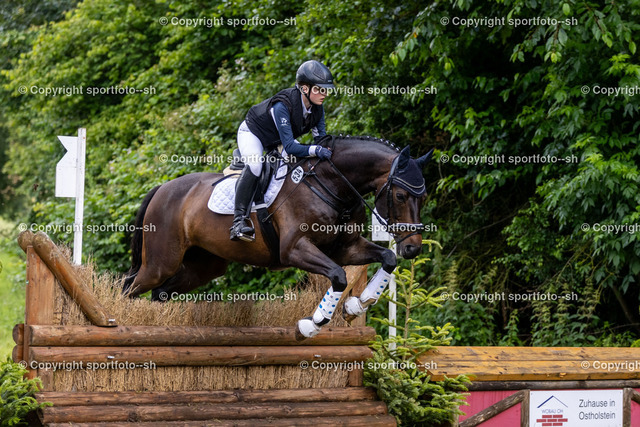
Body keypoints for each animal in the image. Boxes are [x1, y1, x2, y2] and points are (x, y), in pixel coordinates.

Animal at [123, 135, 433, 338]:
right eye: (401, 196)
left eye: (424, 197)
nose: (413, 249)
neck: (331, 185)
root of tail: (162, 188)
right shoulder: (294, 250)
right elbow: (339, 276)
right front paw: (312, 324)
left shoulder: (346, 248)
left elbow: (387, 258)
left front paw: (356, 305)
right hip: (161, 262)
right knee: (129, 287)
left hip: (202, 267)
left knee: (160, 293)